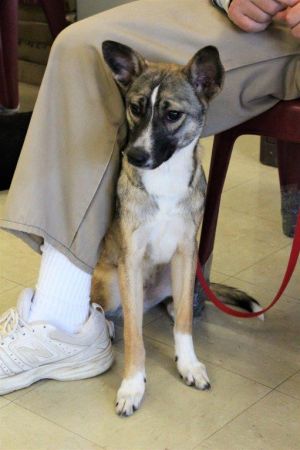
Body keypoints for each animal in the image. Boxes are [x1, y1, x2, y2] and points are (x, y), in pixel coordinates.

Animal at [91, 40, 258, 416]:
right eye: (135, 108)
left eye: (172, 115)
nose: (135, 155)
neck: (164, 179)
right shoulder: (131, 258)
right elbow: (134, 336)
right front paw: (133, 385)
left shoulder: (185, 252)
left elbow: (183, 322)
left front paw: (189, 364)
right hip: (111, 282)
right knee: (107, 310)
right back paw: (106, 325)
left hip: (186, 275)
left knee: (177, 305)